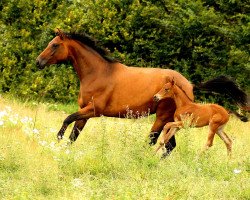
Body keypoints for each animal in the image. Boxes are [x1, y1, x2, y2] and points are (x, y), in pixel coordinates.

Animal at [35, 29, 248, 154]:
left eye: (55, 45)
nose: (38, 62)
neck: (98, 73)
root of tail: (189, 84)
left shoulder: (94, 110)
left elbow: (67, 119)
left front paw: (57, 138)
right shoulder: (85, 112)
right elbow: (74, 134)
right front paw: (64, 151)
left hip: (162, 118)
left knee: (155, 141)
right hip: (173, 121)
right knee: (169, 145)